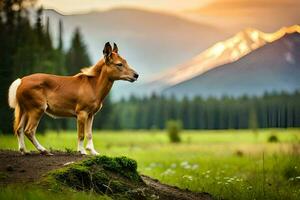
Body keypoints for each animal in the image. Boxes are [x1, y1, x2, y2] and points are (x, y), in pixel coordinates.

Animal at [8, 41, 139, 155]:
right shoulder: (81, 112)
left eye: (125, 61)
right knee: (29, 130)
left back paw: (24, 151)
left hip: (25, 110)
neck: (93, 86)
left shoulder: (91, 114)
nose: (136, 75)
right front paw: (82, 151)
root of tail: (20, 81)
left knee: (19, 129)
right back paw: (44, 150)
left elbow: (89, 134)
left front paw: (93, 152)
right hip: (37, 109)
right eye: (119, 64)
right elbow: (81, 134)